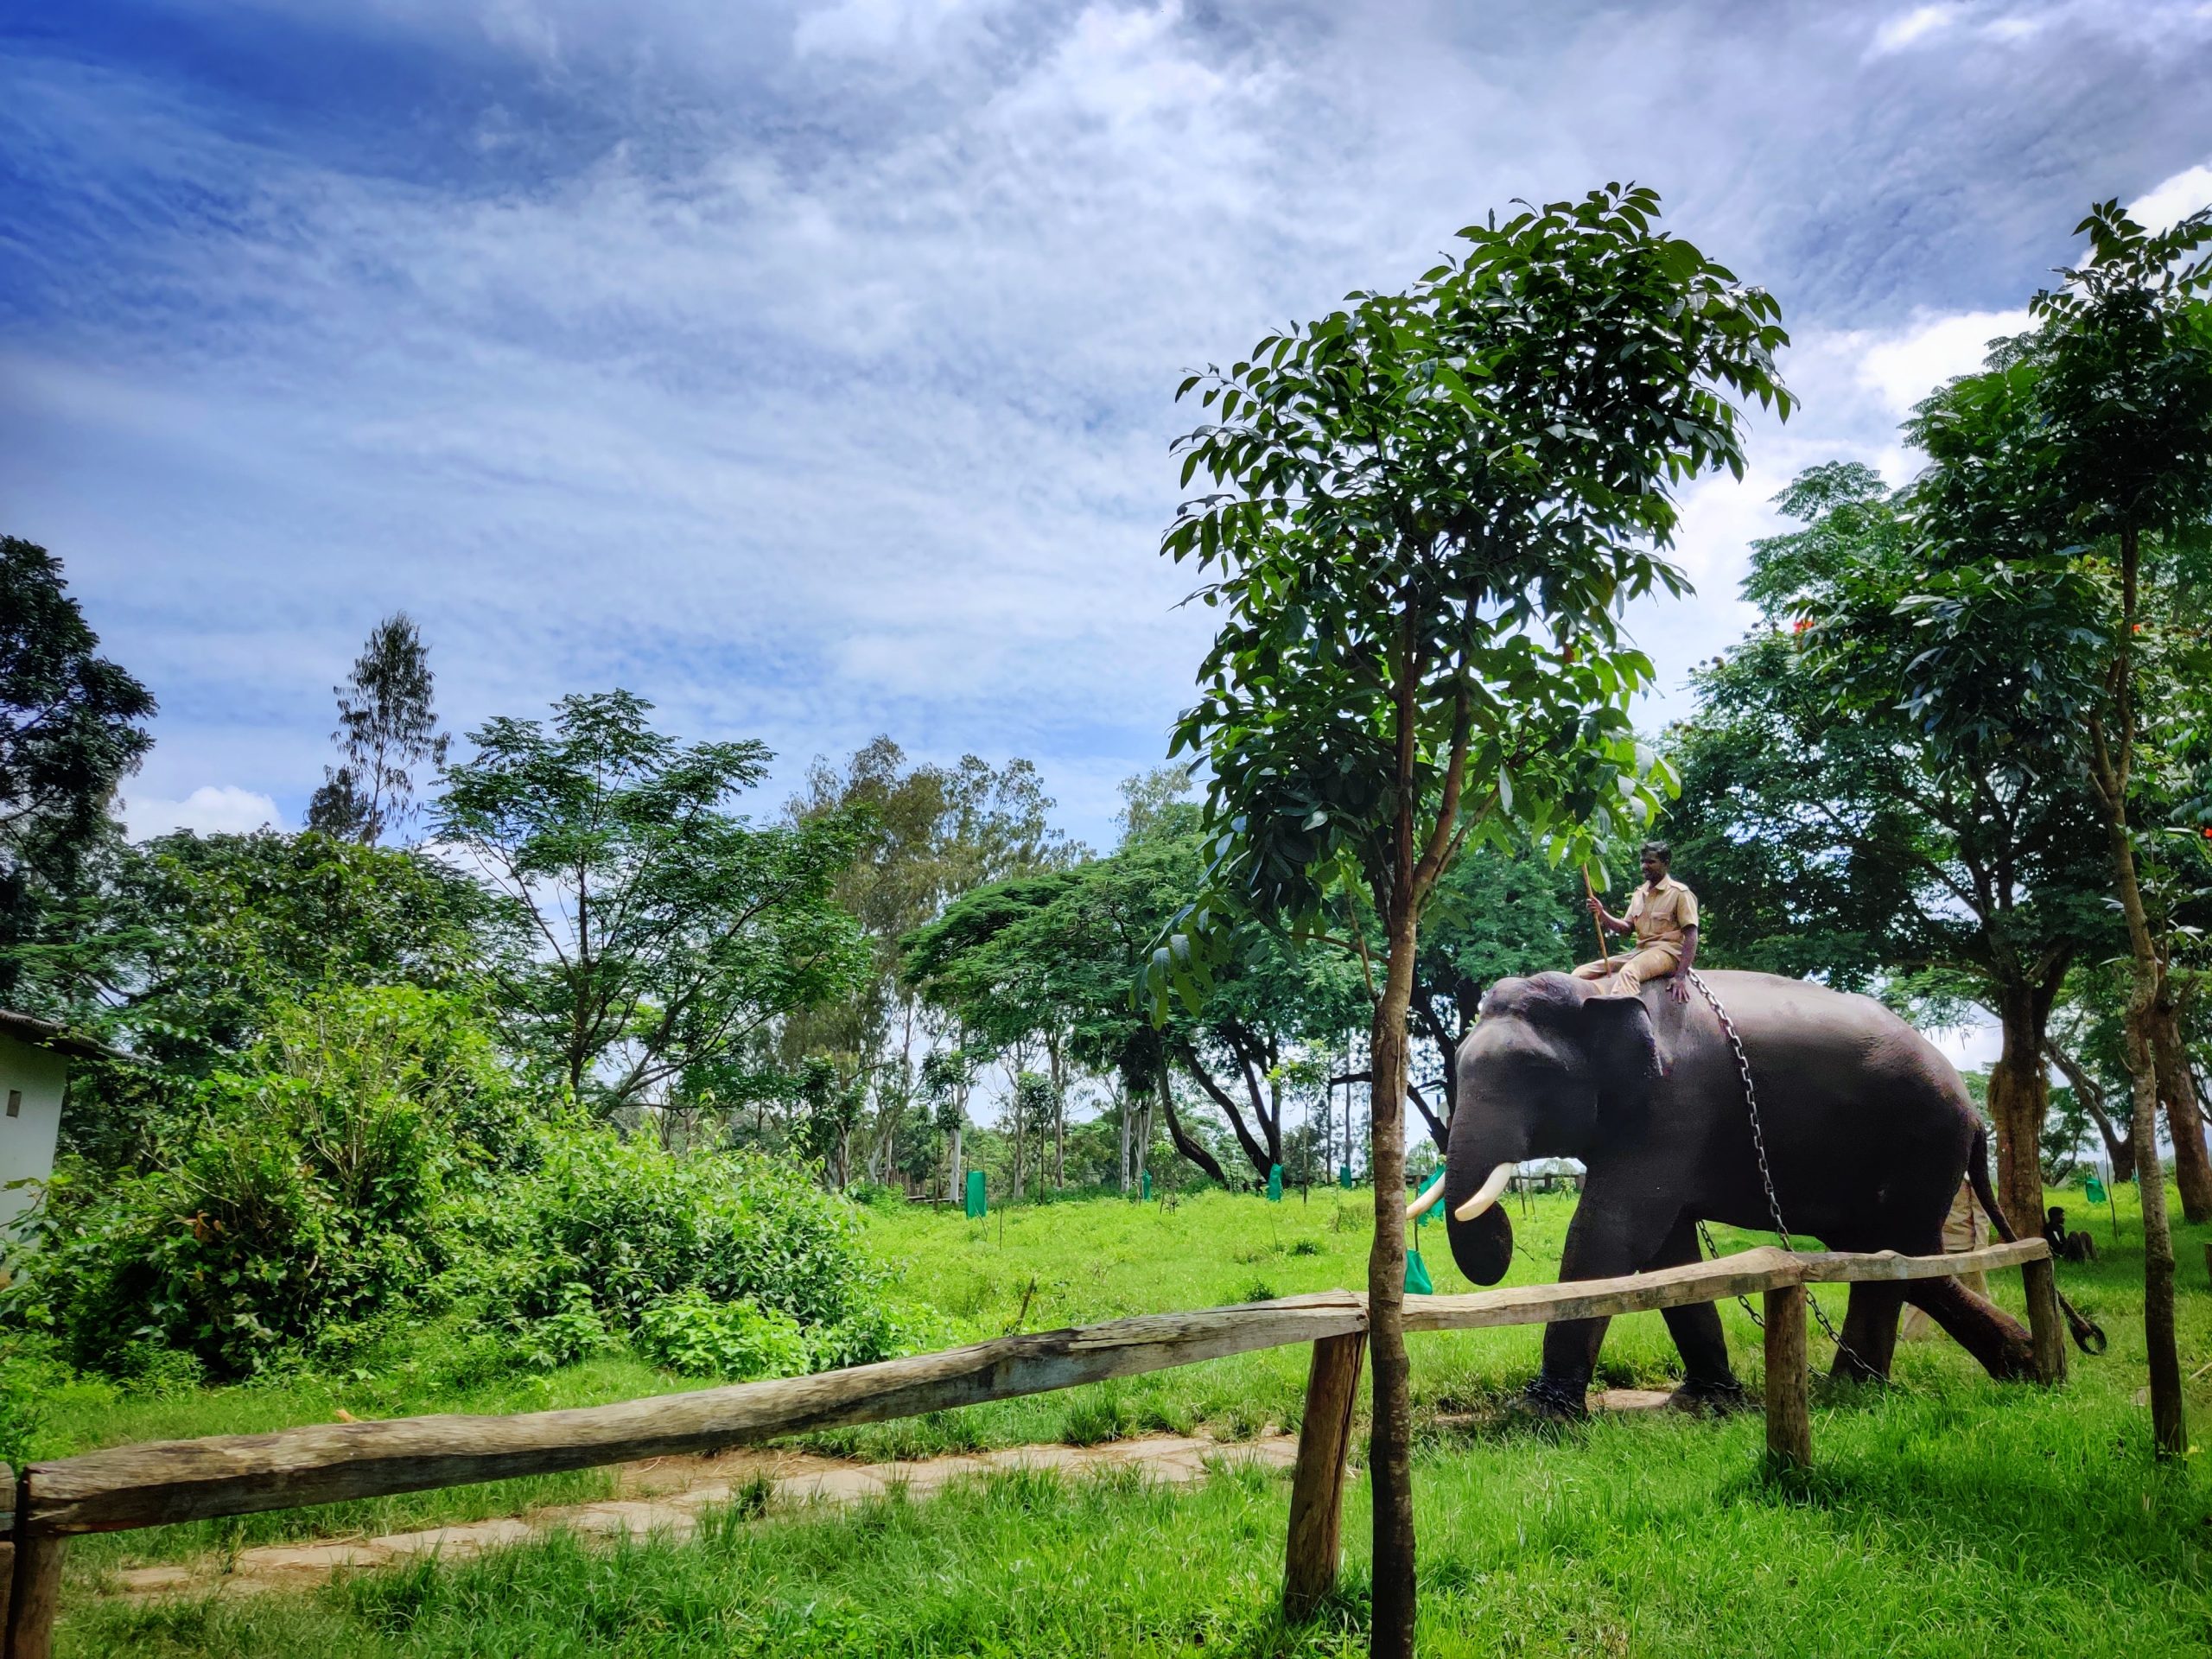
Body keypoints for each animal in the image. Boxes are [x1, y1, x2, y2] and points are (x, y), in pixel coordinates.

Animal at [1424, 973, 2025, 1415]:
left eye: (1533, 1069)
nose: (1504, 1225)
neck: (1600, 987)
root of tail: (1975, 1116)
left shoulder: (1676, 1107)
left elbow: (1612, 1233)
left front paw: (1539, 1415)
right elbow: (1666, 1253)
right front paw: (1706, 1402)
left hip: (1922, 1146)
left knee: (1893, 1256)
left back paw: (1853, 1392)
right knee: (1895, 1261)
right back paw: (2022, 1364)